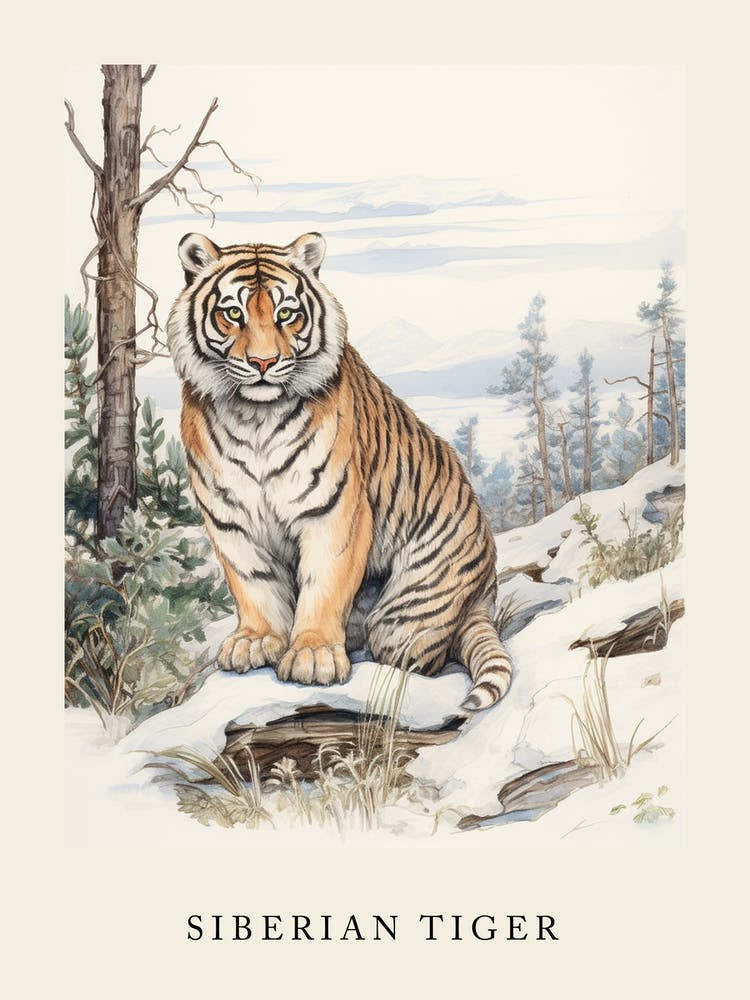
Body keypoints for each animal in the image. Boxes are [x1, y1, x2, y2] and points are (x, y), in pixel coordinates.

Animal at [167, 231, 513, 711]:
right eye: (233, 313)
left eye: (286, 314)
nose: (262, 363)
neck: (255, 418)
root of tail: (485, 594)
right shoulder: (229, 517)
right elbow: (253, 582)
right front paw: (256, 641)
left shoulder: (333, 510)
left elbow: (324, 584)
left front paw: (312, 654)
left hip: (408, 617)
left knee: (423, 654)